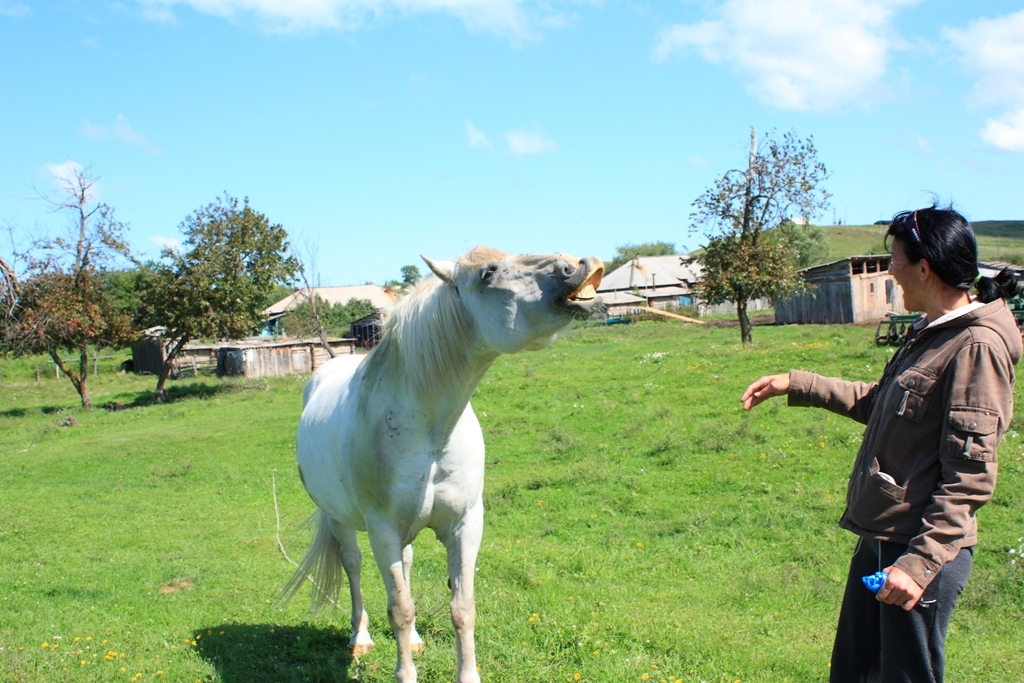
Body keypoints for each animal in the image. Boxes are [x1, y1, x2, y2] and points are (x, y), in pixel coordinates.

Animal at [284, 246, 602, 683]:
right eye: (488, 273)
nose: (579, 265)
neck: (430, 433)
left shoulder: (465, 525)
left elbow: (462, 608)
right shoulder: (383, 531)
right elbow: (400, 609)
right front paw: (405, 672)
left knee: (407, 567)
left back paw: (416, 640)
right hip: (340, 519)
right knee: (354, 566)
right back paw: (360, 638)